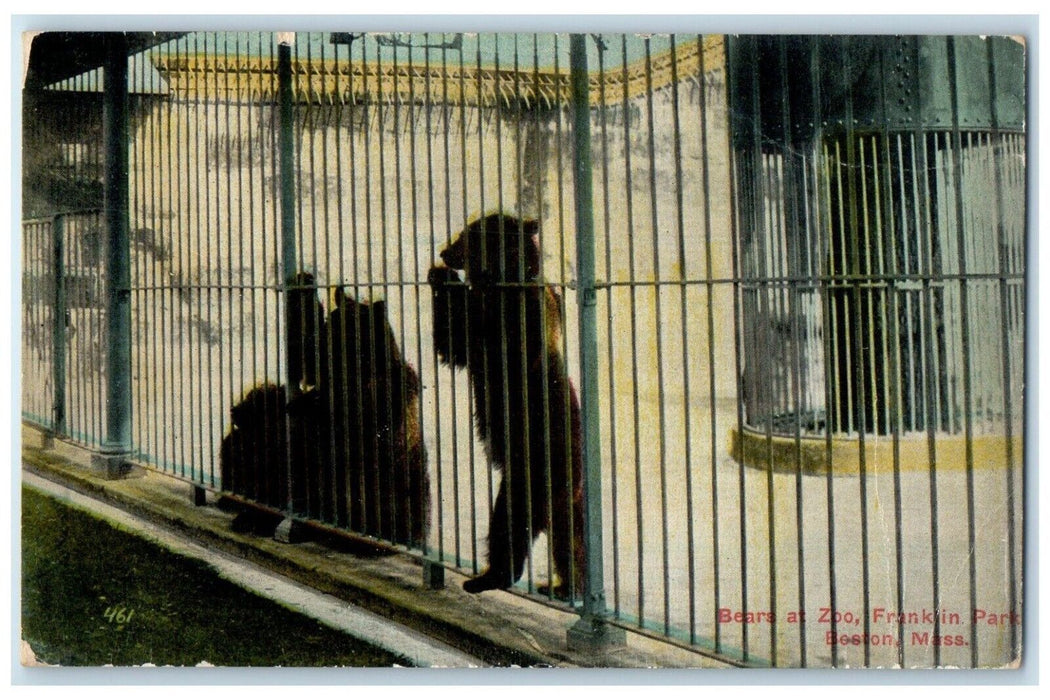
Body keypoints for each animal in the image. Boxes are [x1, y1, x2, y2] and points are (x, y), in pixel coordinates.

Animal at [430, 210, 588, 600]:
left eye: (467, 236)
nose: (443, 252)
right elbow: (456, 346)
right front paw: (438, 276)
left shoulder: (522, 314)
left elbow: (495, 345)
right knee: (563, 536)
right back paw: (560, 584)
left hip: (537, 463)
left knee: (517, 523)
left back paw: (496, 577)